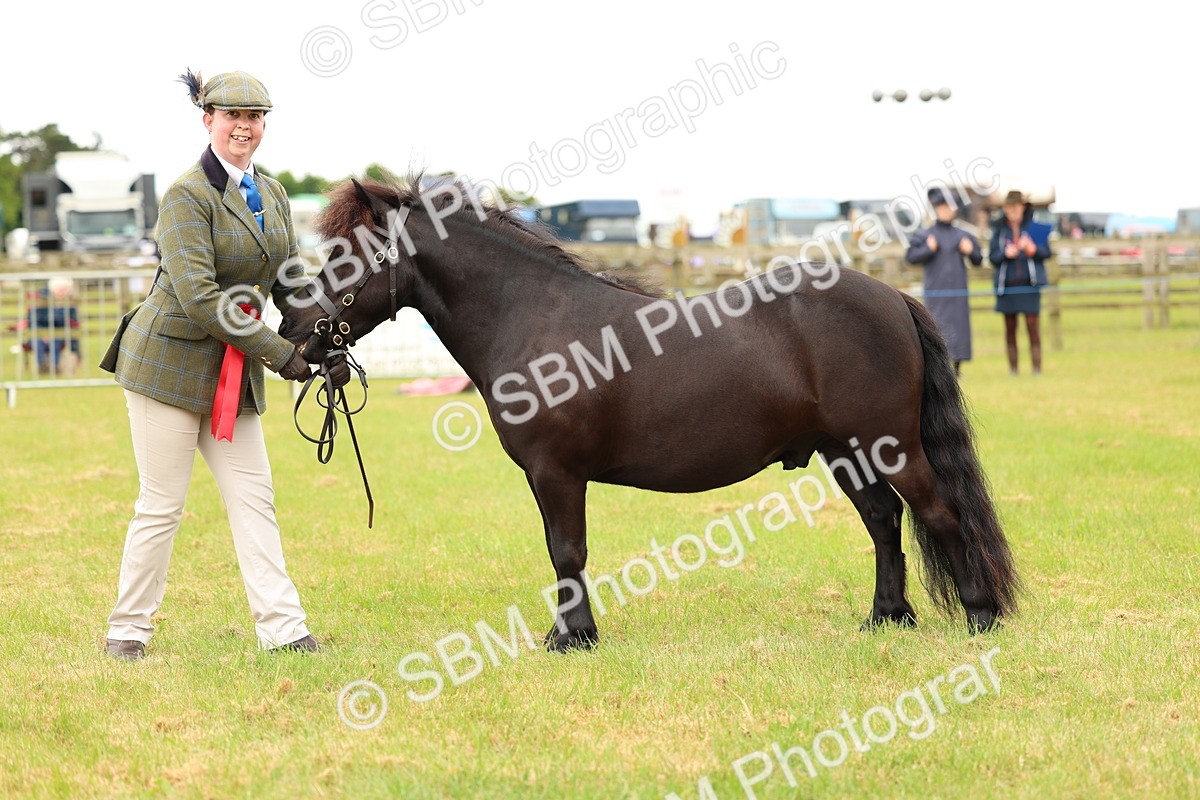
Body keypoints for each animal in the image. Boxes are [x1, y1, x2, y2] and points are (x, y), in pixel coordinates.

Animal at [278, 177, 1020, 650]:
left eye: (346, 253)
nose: (294, 328)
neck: (533, 316)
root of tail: (893, 296)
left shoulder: (556, 473)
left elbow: (566, 550)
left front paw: (571, 639)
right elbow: (562, 551)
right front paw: (570, 633)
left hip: (890, 445)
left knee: (938, 512)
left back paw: (980, 618)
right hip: (846, 452)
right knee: (884, 522)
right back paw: (885, 619)